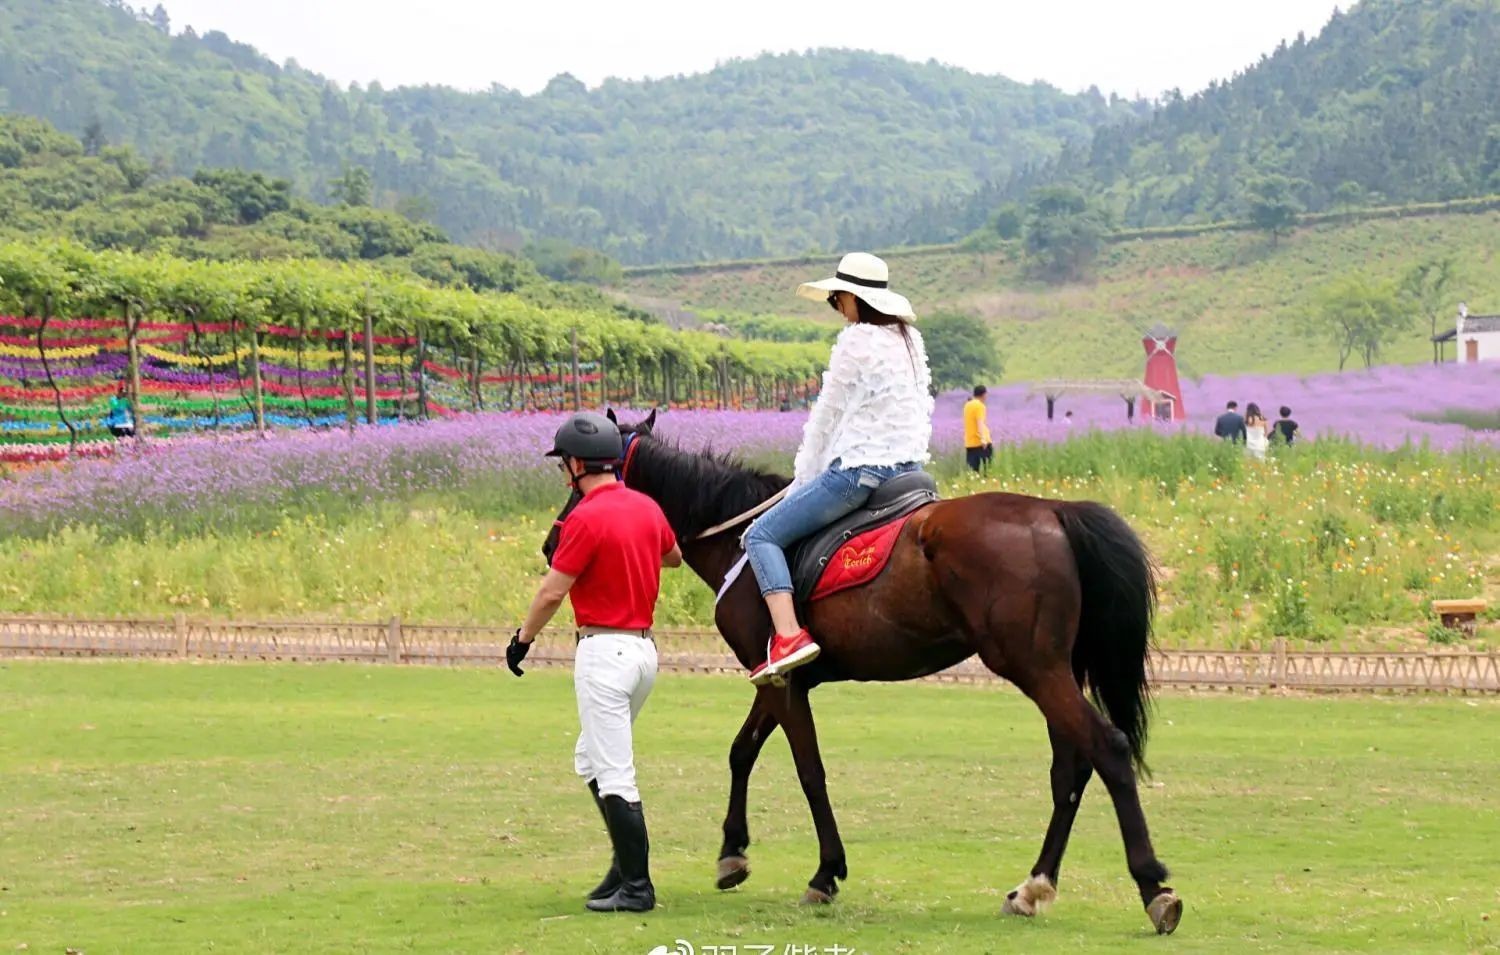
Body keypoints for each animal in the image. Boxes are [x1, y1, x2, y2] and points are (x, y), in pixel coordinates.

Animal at [541, 410, 1184, 935]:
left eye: (582, 484)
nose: (553, 543)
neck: (741, 540)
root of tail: (1053, 510)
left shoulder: (782, 683)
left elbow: (809, 772)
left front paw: (825, 874)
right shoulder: (778, 676)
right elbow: (742, 752)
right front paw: (733, 852)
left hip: (1032, 667)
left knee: (1107, 747)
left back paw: (1152, 885)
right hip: (1052, 670)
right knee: (1072, 766)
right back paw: (1034, 887)